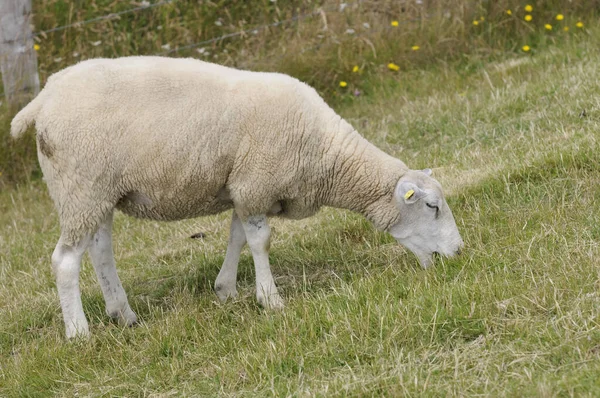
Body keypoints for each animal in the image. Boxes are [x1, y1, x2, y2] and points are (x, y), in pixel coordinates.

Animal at [11, 56, 466, 338]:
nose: (460, 253)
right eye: (431, 206)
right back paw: (79, 332)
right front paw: (271, 300)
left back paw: (123, 315)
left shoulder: (244, 186)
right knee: (65, 261)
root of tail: (43, 98)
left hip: (97, 192)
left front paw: (226, 290)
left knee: (100, 251)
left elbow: (238, 238)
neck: (326, 154)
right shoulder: (256, 183)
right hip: (80, 187)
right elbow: (260, 242)